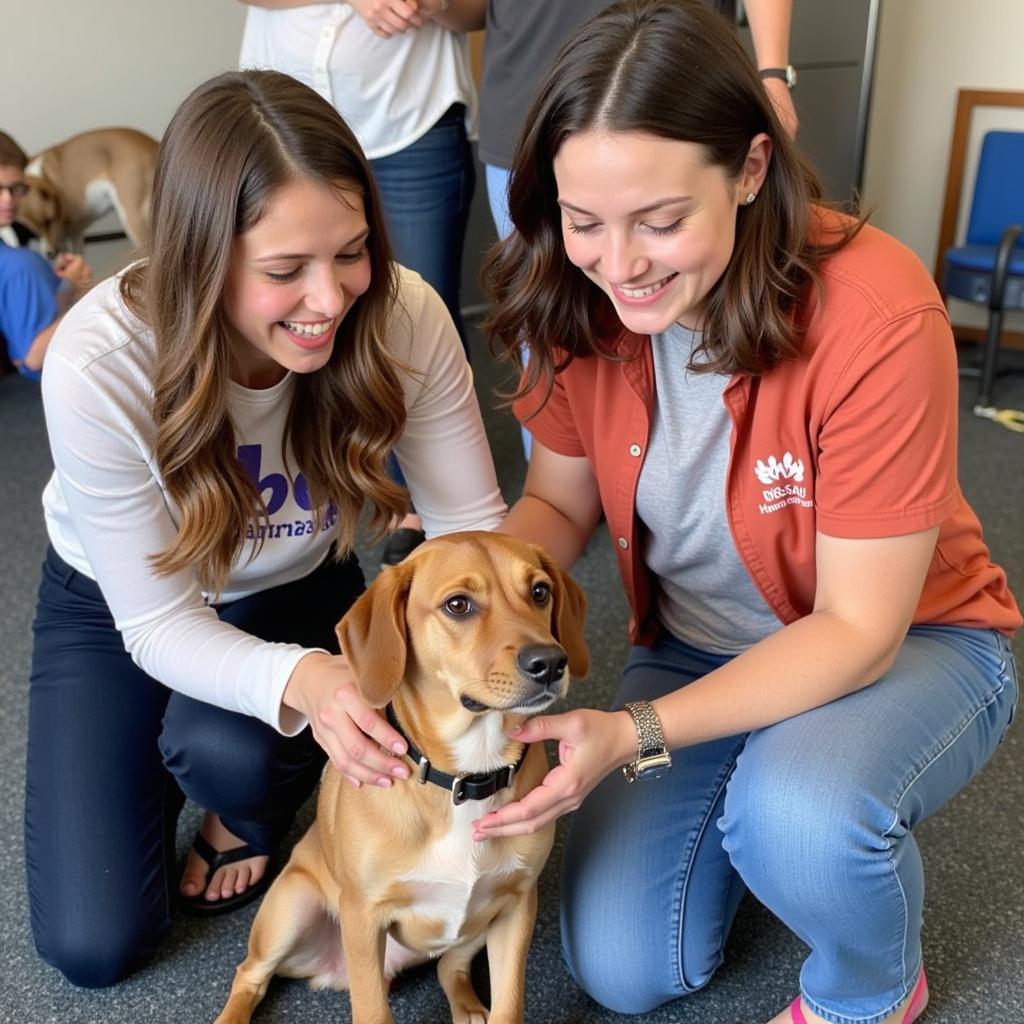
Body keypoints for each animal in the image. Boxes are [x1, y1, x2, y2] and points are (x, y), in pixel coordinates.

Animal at [18, 125, 157, 253]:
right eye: (34, 231)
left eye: (50, 220)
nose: (51, 254)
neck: (44, 174)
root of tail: (154, 147)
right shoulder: (74, 234)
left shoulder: (72, 233)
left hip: (131, 218)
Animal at [214, 536, 593, 1024]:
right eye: (458, 605)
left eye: (540, 592)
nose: (551, 662)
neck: (466, 776)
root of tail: (330, 972)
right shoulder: (363, 916)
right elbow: (372, 1010)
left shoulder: (516, 905)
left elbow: (509, 1007)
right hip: (290, 908)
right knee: (250, 974)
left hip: (474, 924)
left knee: (450, 965)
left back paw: (468, 1008)